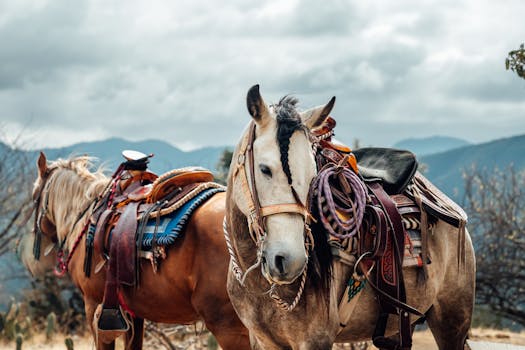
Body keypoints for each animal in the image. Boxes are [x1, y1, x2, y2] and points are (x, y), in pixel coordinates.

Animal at [223, 85, 476, 350]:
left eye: (313, 175)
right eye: (265, 169)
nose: (290, 261)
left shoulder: (316, 339)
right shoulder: (261, 340)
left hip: (451, 322)